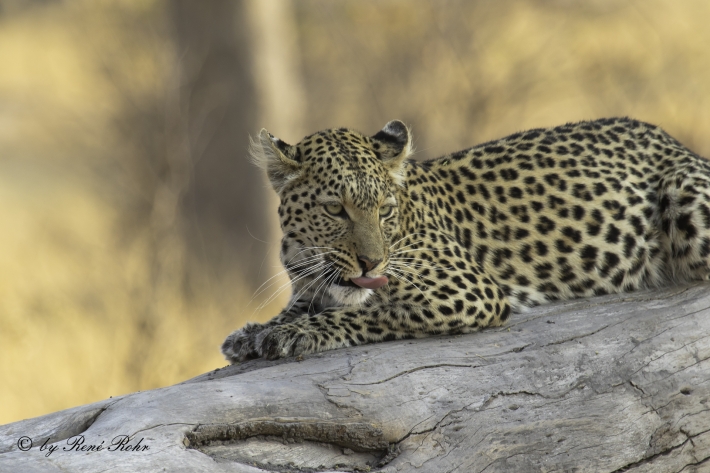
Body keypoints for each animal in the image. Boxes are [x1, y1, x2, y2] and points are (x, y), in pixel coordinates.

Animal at [222, 117, 710, 362]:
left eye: (384, 210)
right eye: (334, 209)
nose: (371, 263)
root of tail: (673, 141)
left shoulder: (467, 291)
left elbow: (364, 313)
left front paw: (293, 335)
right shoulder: (310, 286)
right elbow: (297, 307)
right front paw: (254, 332)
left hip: (685, 199)